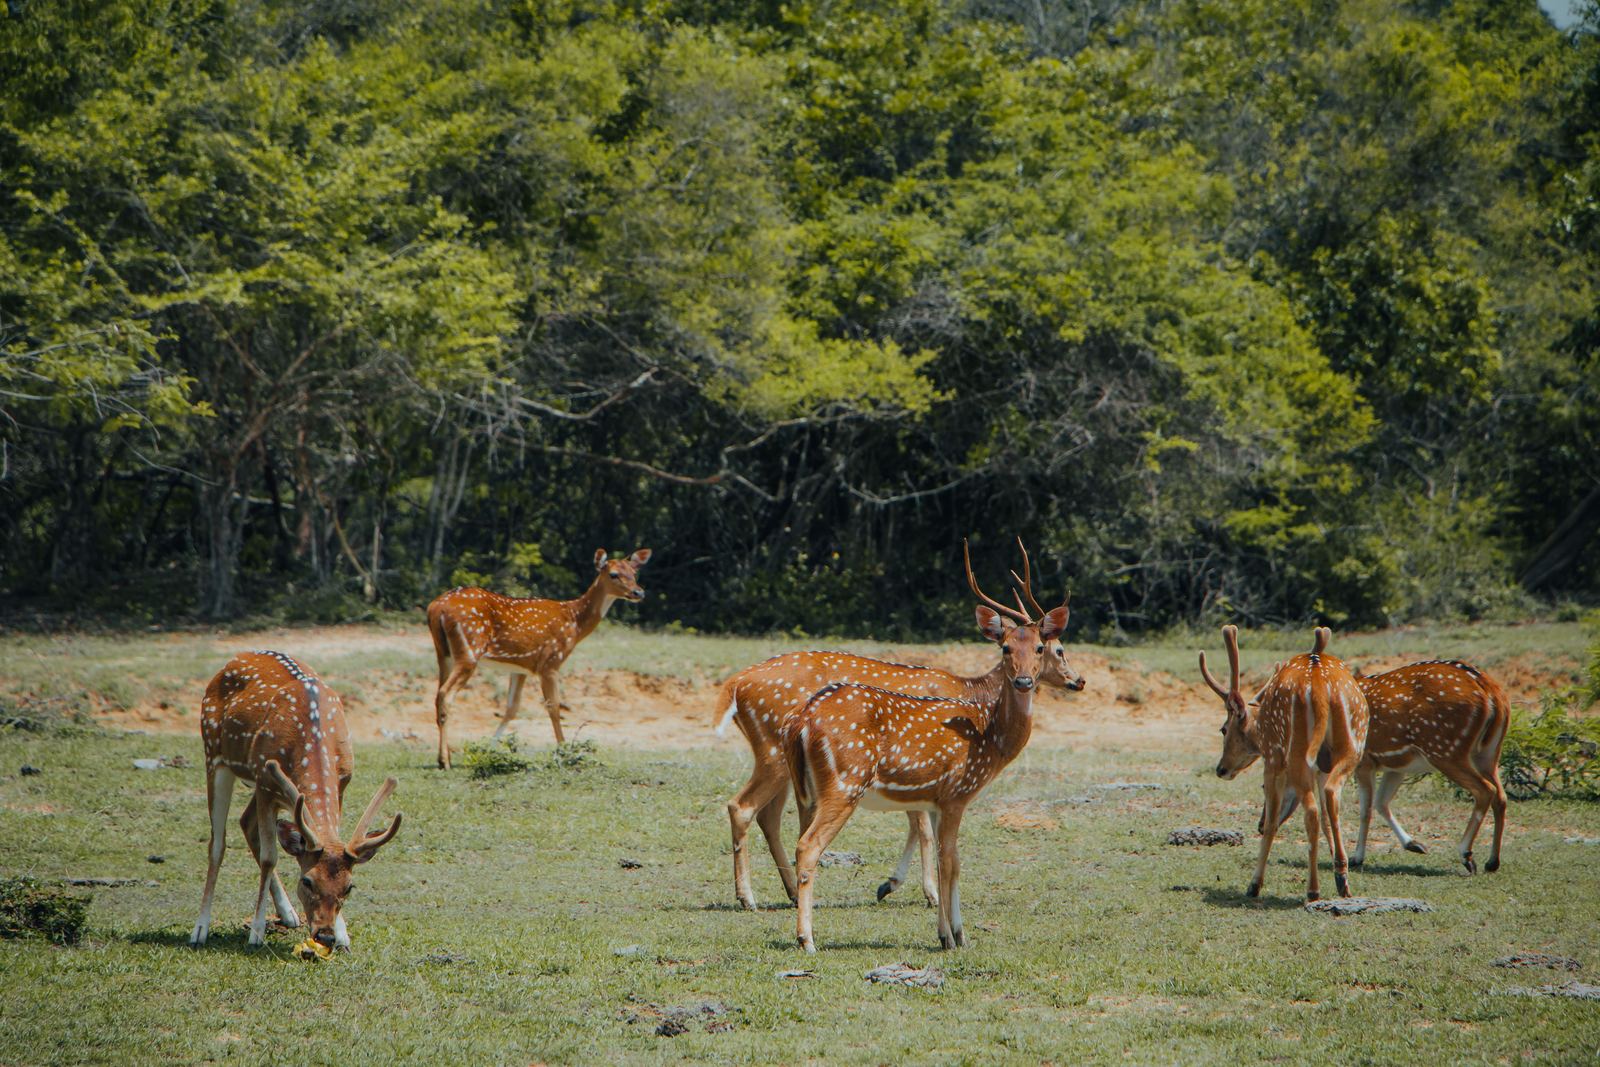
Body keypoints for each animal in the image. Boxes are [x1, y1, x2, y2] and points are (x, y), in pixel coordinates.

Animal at [190, 651, 402, 950]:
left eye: (349, 887)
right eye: (307, 881)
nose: (324, 935)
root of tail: (235, 659)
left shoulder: (342, 782)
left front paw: (343, 935)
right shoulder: (265, 780)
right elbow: (270, 857)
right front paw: (256, 933)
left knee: (245, 822)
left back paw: (288, 913)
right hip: (215, 757)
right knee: (217, 844)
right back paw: (200, 929)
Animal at [427, 547, 651, 768]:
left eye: (634, 573)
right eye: (613, 574)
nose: (639, 592)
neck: (575, 623)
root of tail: (436, 608)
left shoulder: (520, 667)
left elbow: (511, 708)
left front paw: (487, 750)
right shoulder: (550, 662)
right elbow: (554, 707)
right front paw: (564, 752)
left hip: (443, 653)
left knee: (437, 694)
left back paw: (443, 757)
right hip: (470, 650)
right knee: (446, 694)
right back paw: (445, 761)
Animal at [714, 540, 1085, 912]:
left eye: (1042, 647)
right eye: (1058, 649)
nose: (1078, 680)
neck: (973, 693)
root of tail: (734, 684)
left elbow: (915, 822)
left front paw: (890, 884)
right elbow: (923, 829)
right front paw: (927, 892)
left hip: (787, 764)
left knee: (769, 815)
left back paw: (789, 892)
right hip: (774, 751)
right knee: (743, 807)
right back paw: (748, 897)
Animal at [1201, 625, 1368, 901]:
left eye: (1223, 729)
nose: (1220, 769)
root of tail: (1320, 686)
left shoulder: (1272, 759)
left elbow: (1272, 822)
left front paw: (1254, 884)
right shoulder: (1320, 768)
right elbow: (1326, 817)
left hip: (1297, 751)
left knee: (1311, 811)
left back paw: (1313, 889)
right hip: (1353, 744)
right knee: (1332, 796)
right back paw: (1342, 879)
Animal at [1267, 660, 1510, 874]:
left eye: (1266, 787)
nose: (1262, 825)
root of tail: (1492, 693)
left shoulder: (1364, 762)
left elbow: (1365, 809)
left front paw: (1357, 857)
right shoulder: (1395, 767)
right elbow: (1381, 803)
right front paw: (1414, 844)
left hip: (1446, 750)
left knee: (1485, 790)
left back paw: (1466, 855)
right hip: (1488, 753)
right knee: (1501, 796)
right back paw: (1492, 862)